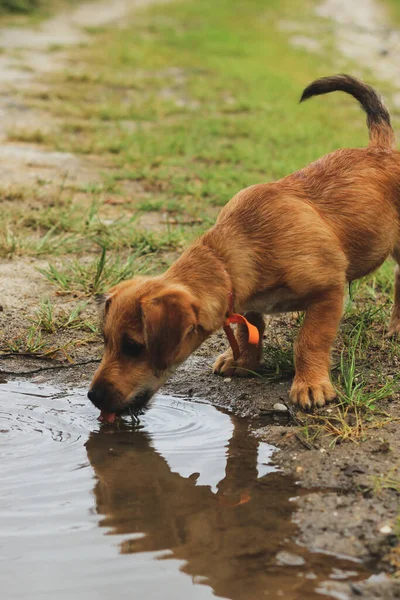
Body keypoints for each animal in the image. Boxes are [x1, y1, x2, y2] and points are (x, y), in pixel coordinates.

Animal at [88, 75, 400, 414]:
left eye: (133, 347)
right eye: (105, 340)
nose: (93, 397)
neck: (229, 256)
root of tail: (381, 148)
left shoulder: (328, 291)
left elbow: (309, 341)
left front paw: (310, 384)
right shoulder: (245, 298)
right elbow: (251, 327)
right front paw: (245, 362)